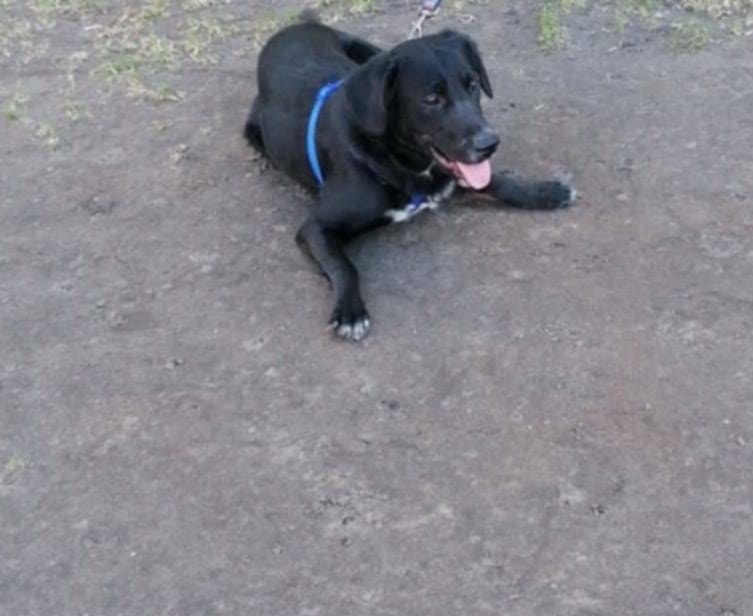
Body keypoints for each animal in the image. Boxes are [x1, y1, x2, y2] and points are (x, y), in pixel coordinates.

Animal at [244, 14, 575, 342]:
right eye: (431, 99)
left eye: (473, 85)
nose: (489, 144)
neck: (396, 158)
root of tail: (295, 26)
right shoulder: (315, 227)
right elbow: (345, 267)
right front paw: (350, 311)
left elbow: (498, 181)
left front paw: (544, 192)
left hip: (369, 50)